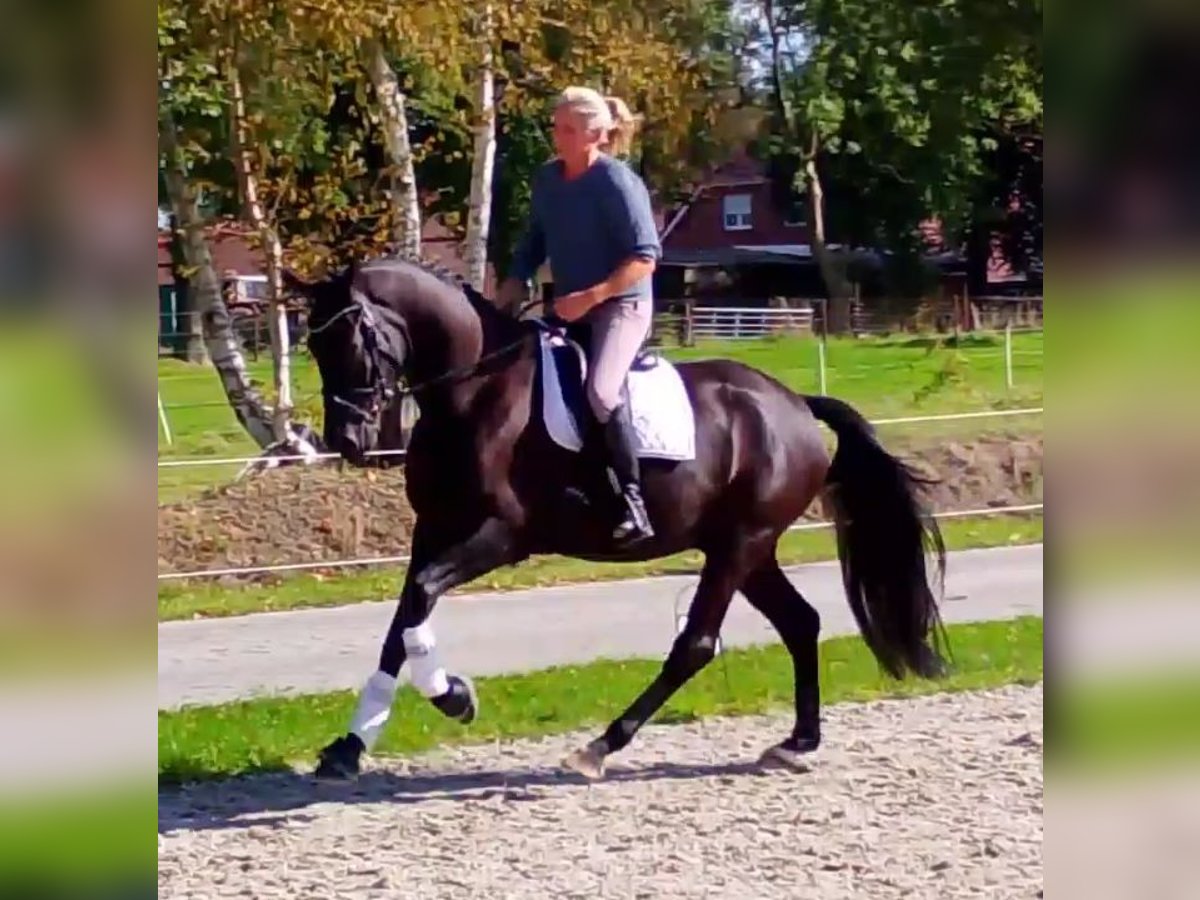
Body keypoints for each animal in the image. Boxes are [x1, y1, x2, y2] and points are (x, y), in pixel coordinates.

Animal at [280, 259, 945, 782]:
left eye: (353, 341)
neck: (472, 393)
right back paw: (799, 741)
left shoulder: (500, 536)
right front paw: (348, 747)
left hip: (739, 545)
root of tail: (795, 405)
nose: (346, 441)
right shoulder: (433, 531)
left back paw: (600, 746)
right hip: (748, 550)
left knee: (696, 645)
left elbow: (417, 604)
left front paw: (455, 698)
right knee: (801, 623)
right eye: (312, 347)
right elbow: (402, 624)